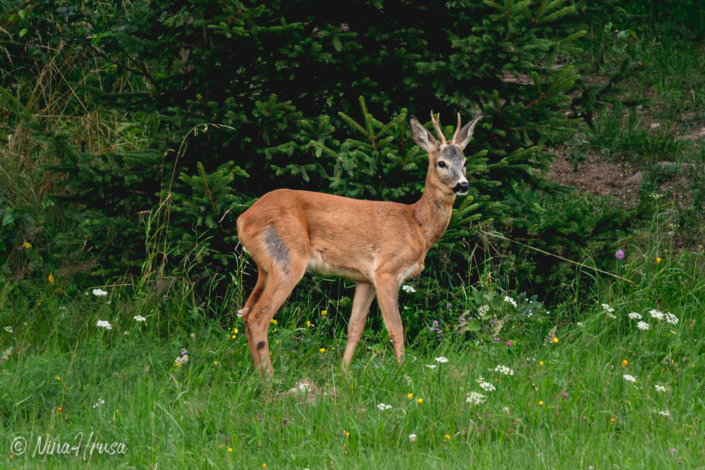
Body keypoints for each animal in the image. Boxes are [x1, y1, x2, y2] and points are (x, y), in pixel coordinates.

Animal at [235, 110, 478, 374]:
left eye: (465, 162)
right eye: (441, 163)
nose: (463, 185)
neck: (416, 226)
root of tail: (243, 219)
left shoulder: (365, 278)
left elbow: (355, 328)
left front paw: (344, 372)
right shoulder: (386, 271)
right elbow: (396, 327)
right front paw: (403, 372)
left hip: (266, 267)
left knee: (246, 312)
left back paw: (257, 372)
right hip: (289, 258)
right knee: (259, 316)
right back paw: (269, 376)